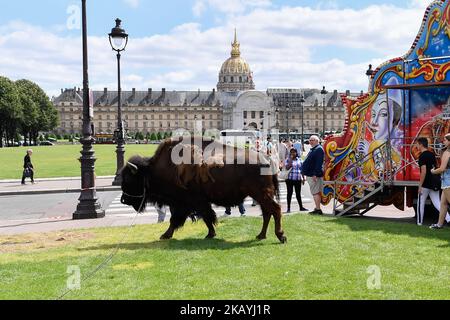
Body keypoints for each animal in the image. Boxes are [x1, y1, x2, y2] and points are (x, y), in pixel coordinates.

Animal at [120, 136, 284, 244]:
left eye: (128, 179)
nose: (123, 199)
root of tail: (267, 159)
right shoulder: (190, 203)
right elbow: (202, 217)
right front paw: (210, 234)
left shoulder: (189, 202)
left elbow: (187, 218)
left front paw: (165, 235)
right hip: (260, 195)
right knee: (267, 213)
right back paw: (261, 235)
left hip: (261, 194)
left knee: (275, 210)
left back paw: (281, 236)